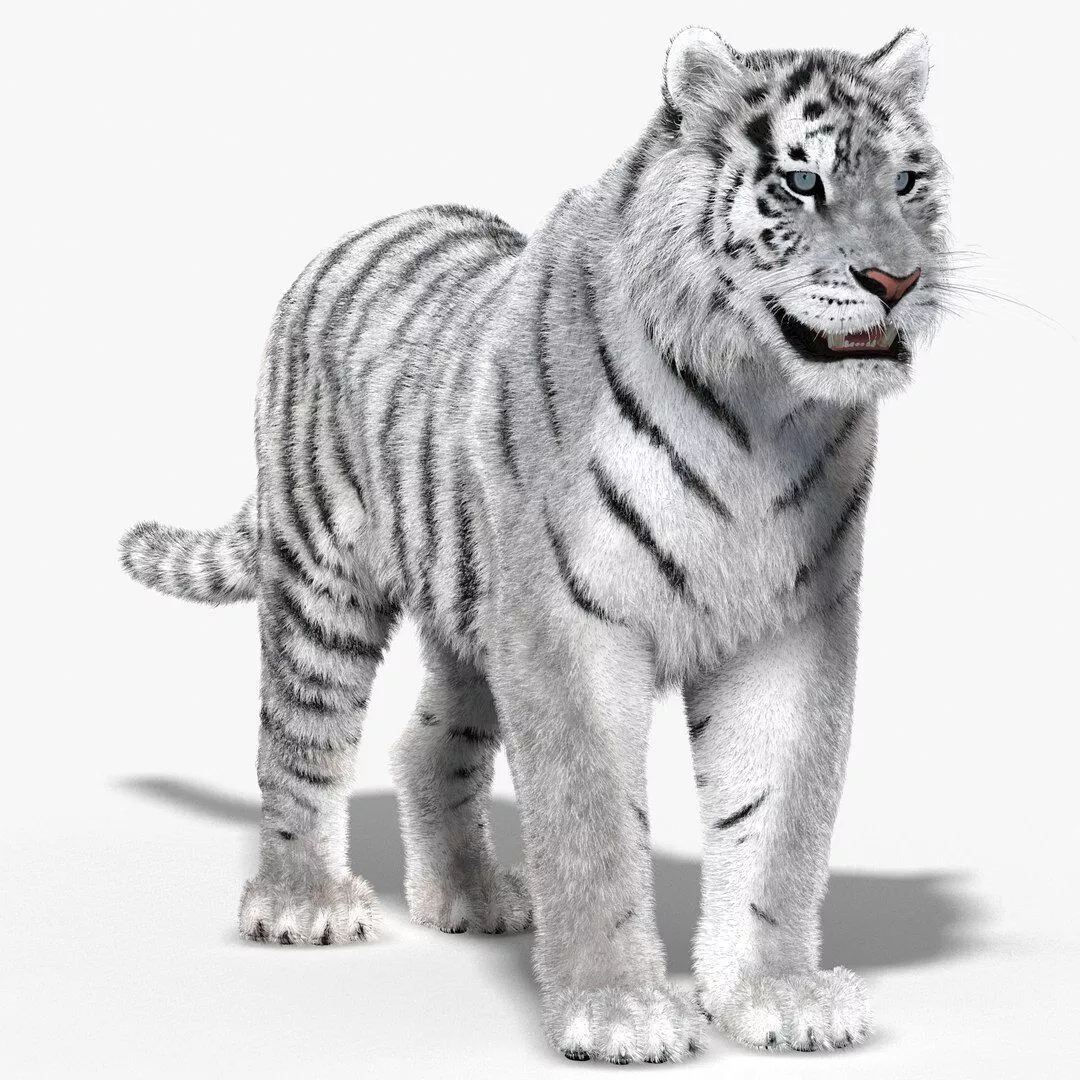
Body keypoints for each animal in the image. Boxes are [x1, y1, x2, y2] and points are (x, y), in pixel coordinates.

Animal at [120, 26, 948, 1064]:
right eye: (803, 183)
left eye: (909, 180)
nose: (898, 281)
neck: (759, 406)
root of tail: (350, 239)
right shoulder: (569, 625)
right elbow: (592, 829)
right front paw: (621, 1013)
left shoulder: (791, 628)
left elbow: (776, 826)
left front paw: (779, 996)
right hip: (323, 583)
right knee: (299, 742)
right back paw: (303, 903)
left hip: (473, 616)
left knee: (427, 749)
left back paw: (470, 897)